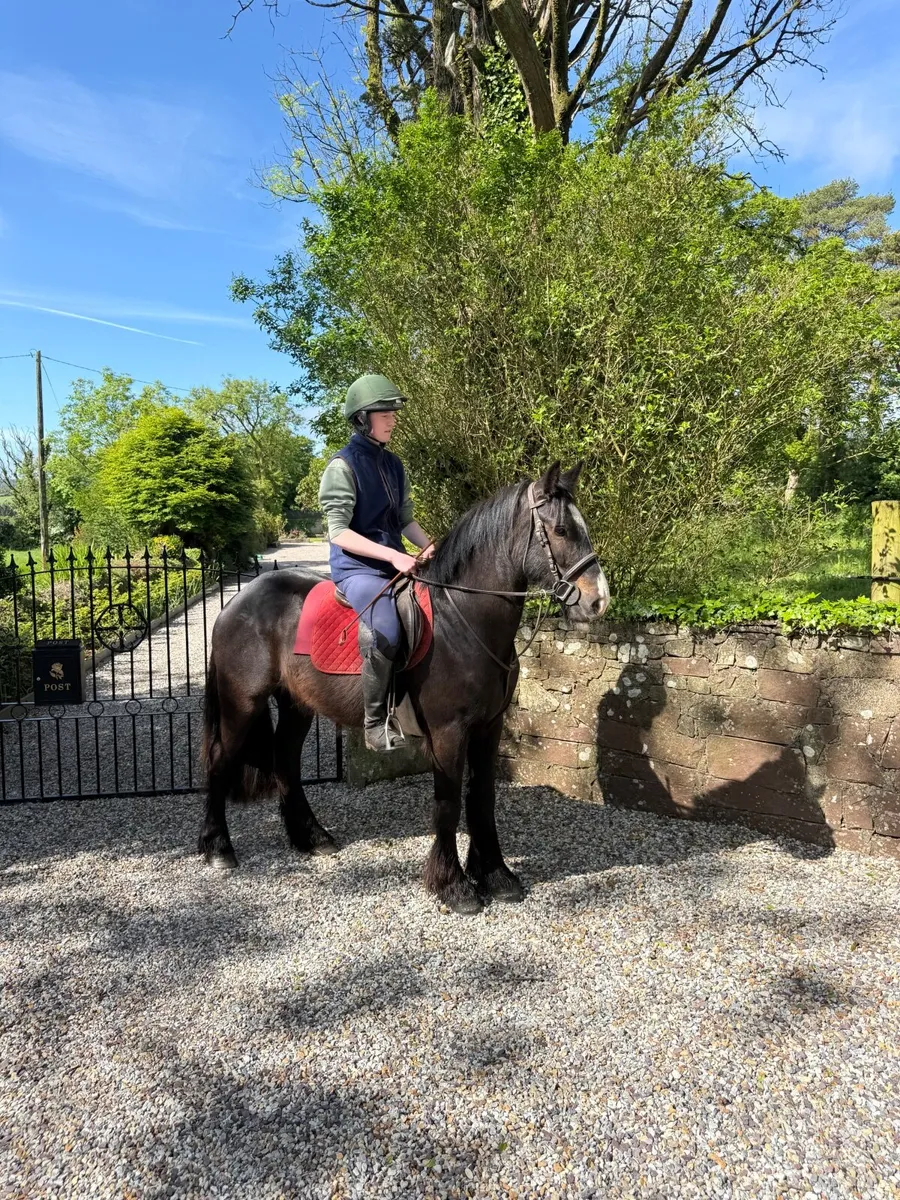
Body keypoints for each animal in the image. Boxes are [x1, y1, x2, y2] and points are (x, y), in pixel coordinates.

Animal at [199, 461, 610, 914]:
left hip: (296, 705)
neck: (460, 620)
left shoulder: (489, 727)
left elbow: (482, 799)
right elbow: (448, 805)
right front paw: (453, 886)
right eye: (560, 530)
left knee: (285, 759)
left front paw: (495, 875)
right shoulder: (449, 732)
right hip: (242, 703)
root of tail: (239, 601)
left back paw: (311, 837)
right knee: (219, 761)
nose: (599, 601)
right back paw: (218, 848)